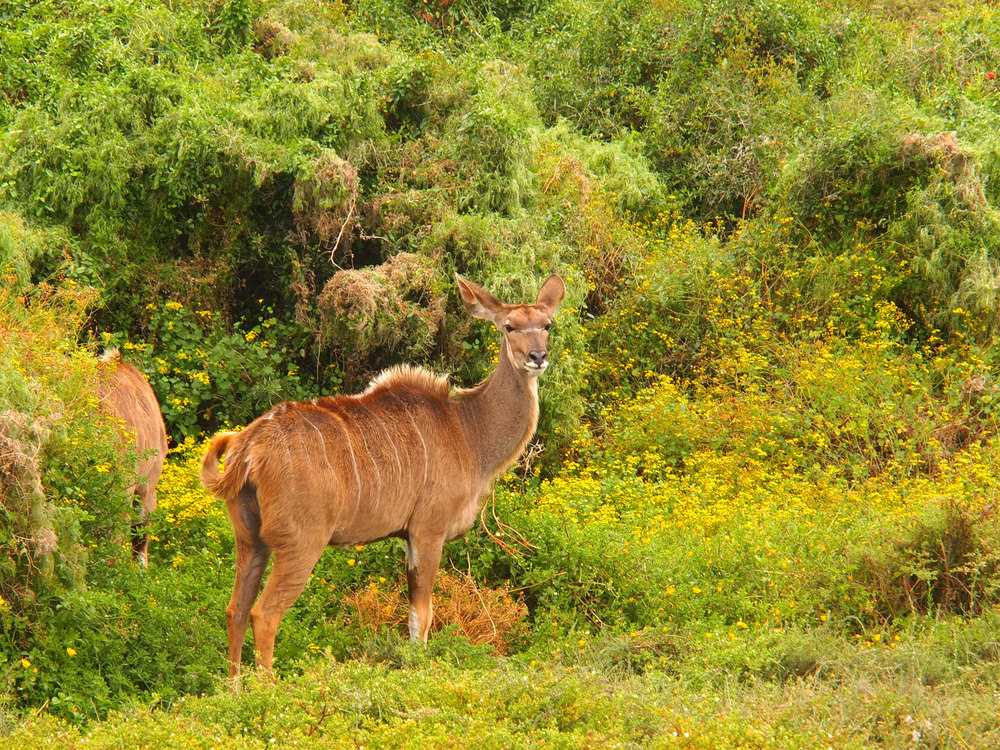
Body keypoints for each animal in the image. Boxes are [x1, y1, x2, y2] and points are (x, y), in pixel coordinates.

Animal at [199, 274, 568, 680]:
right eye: (509, 326)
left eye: (547, 325)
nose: (537, 357)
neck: (467, 429)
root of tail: (249, 448)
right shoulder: (428, 529)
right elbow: (422, 615)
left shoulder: (408, 535)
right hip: (300, 542)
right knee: (264, 613)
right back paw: (268, 688)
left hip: (250, 539)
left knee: (234, 609)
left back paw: (235, 688)